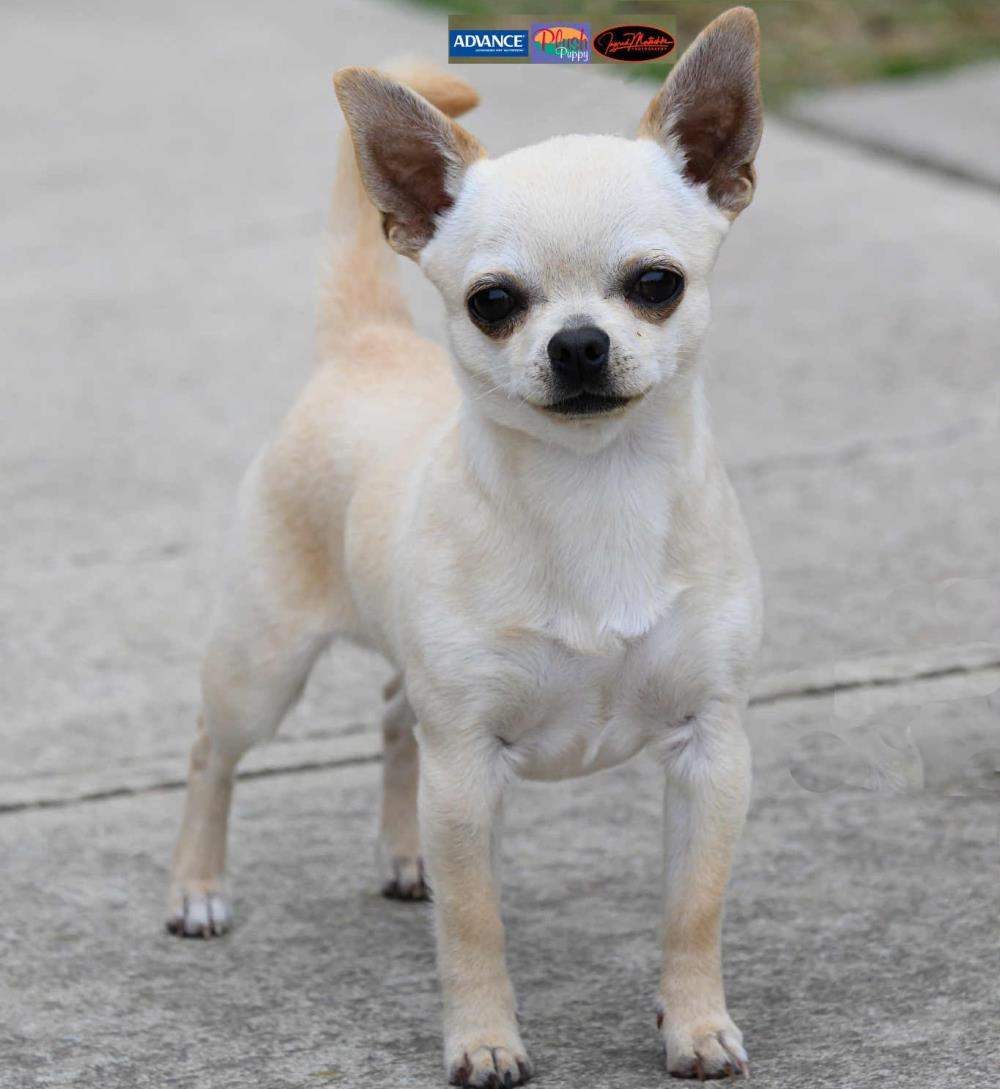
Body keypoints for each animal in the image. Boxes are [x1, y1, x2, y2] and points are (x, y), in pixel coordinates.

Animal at [167, 8, 764, 1084]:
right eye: (493, 302)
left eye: (656, 285)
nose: (577, 342)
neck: (593, 491)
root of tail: (365, 342)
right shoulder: (467, 771)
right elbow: (474, 923)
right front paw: (484, 1040)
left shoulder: (712, 750)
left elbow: (691, 912)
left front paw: (695, 1024)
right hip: (261, 668)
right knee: (210, 750)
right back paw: (196, 887)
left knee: (391, 712)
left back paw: (402, 858)